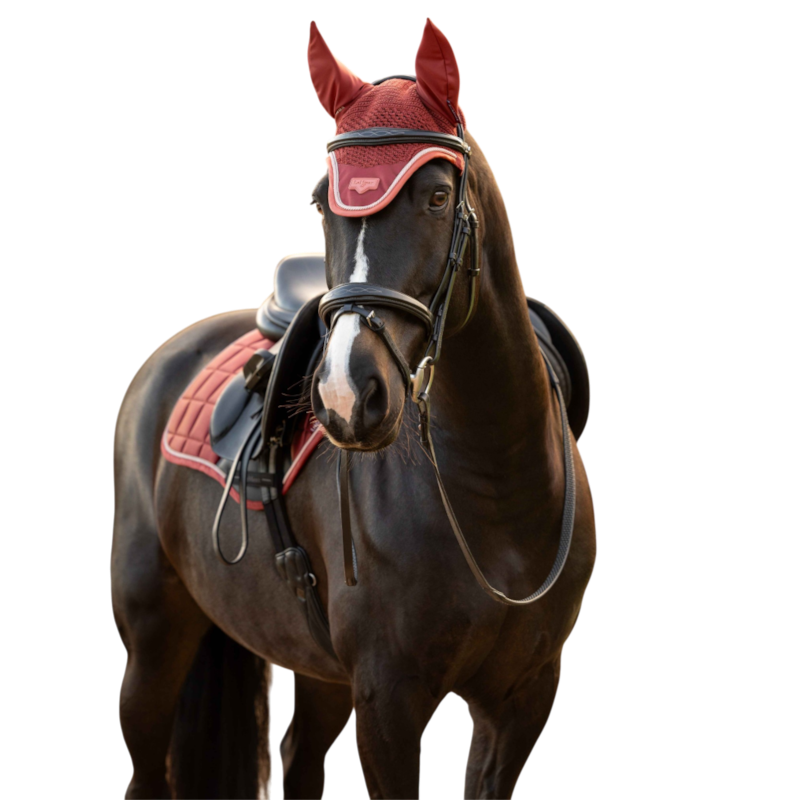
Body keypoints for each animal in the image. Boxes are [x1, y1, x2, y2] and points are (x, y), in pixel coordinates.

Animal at [111, 19, 596, 800]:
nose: (345, 395)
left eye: (437, 195)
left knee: (299, 758)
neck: (493, 491)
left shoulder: (521, 698)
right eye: (321, 201)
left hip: (319, 671)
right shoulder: (388, 699)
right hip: (155, 637)